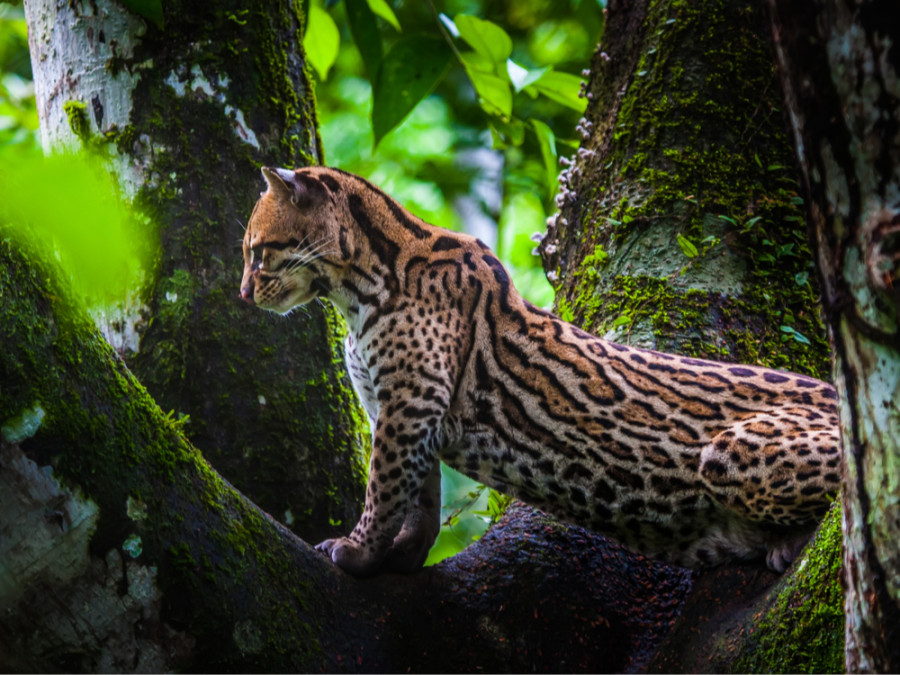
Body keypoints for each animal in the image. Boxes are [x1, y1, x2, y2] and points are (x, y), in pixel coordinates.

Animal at [239, 166, 844, 580]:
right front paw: (402, 556)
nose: (243, 293)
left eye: (257, 250)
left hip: (731, 449)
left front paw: (359, 550)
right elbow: (421, 499)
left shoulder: (408, 403)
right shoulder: (400, 407)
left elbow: (385, 488)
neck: (354, 291)